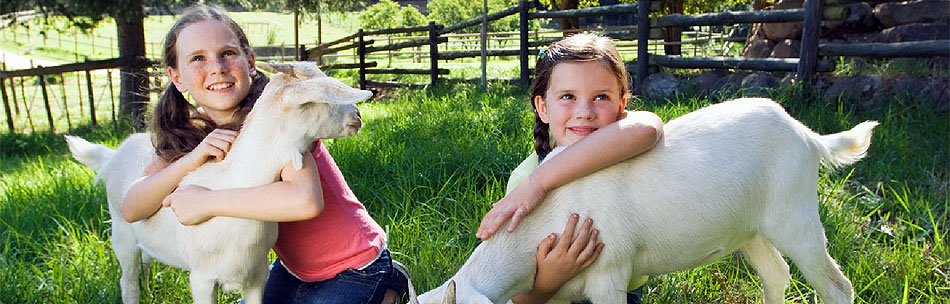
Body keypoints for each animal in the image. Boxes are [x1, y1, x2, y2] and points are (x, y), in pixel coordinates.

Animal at [64, 61, 372, 304]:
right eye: (321, 100)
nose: (357, 117)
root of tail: (112, 154)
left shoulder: (257, 274)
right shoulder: (201, 278)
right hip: (121, 235)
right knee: (128, 283)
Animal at [416, 98, 876, 304]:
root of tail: (808, 135)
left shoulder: (609, 271)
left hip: (795, 214)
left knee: (837, 285)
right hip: (750, 228)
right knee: (776, 273)